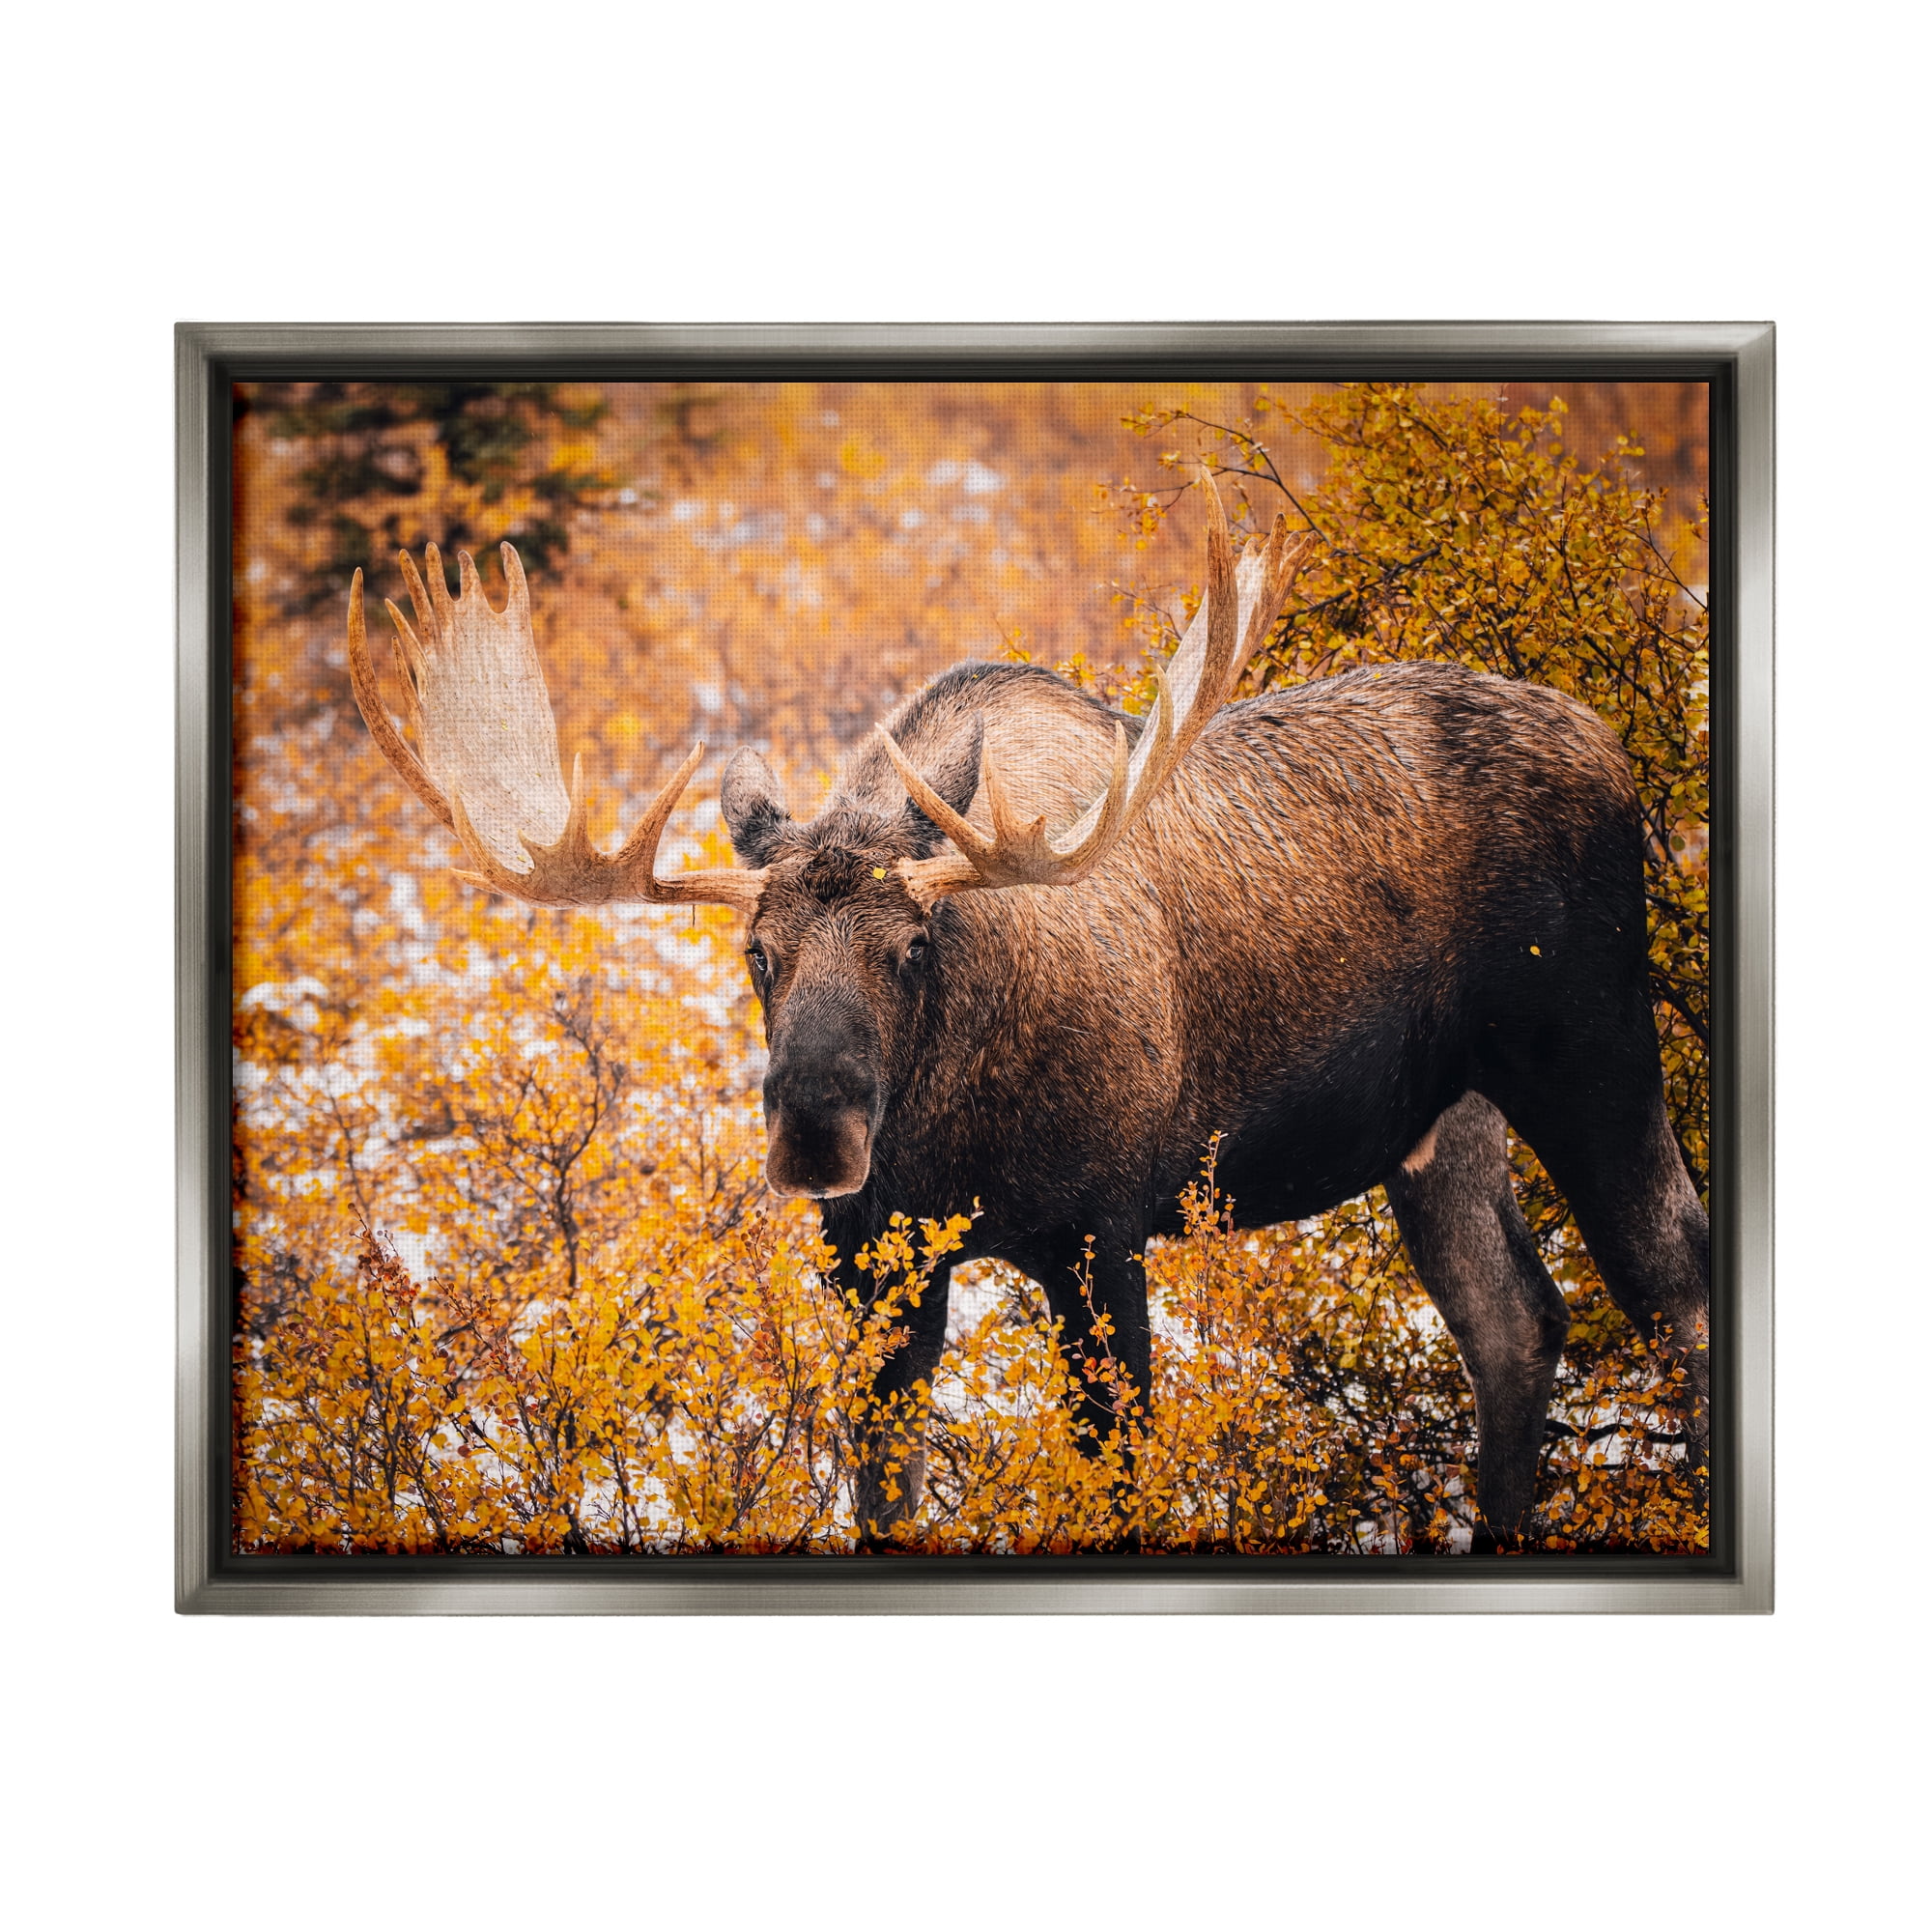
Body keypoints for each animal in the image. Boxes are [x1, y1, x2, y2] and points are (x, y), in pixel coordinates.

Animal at [346, 476, 1710, 1550]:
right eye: (756, 953)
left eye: (911, 946)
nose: (815, 1132)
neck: (948, 1138)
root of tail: (1611, 743)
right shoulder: (870, 1267)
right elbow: (881, 1494)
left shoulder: (1102, 1235)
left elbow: (1118, 1479)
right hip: (1437, 1124)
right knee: (1514, 1321)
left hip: (1589, 1044)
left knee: (1673, 1279)